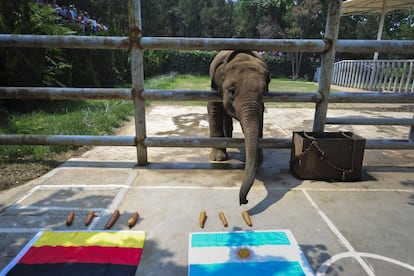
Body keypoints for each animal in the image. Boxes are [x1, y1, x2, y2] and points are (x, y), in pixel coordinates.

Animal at [207, 50, 272, 205]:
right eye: (231, 91)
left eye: (264, 92)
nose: (245, 201)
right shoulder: (215, 88)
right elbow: (213, 109)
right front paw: (218, 159)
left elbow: (260, 117)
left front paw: (259, 159)